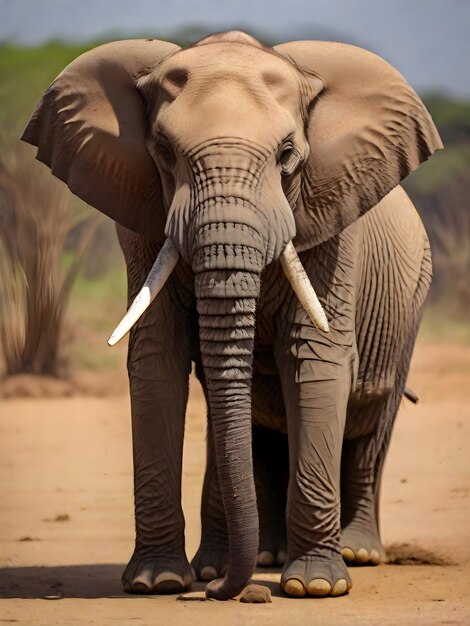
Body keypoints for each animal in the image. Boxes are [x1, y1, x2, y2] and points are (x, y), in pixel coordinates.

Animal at [21, 30, 440, 600]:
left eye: (287, 154)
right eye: (164, 151)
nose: (219, 594)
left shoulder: (333, 222)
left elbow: (316, 357)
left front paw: (315, 587)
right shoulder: (141, 218)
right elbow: (157, 357)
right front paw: (158, 581)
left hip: (411, 303)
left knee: (371, 426)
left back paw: (356, 554)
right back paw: (251, 559)